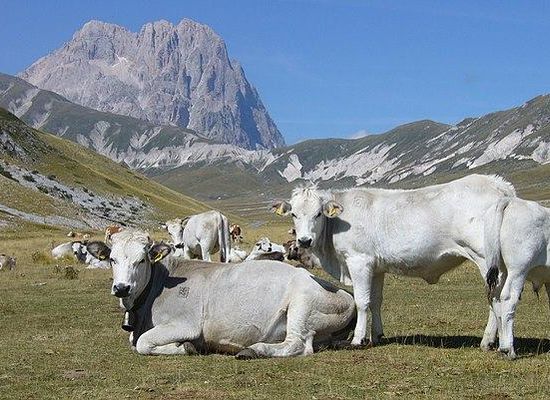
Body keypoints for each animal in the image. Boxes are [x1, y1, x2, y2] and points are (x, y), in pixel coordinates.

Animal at [85, 229, 356, 358]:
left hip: (302, 304)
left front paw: (185, 347)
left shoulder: (185, 324)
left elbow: (143, 343)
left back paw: (253, 350)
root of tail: (347, 296)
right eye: (112, 259)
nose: (122, 287)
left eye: (141, 260)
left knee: (298, 345)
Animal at [272, 174, 516, 349]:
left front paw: (358, 339)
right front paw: (376, 335)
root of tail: (497, 183)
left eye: (318, 214)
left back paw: (489, 341)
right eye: (294, 214)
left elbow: (362, 301)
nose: (304, 240)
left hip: (486, 260)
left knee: (495, 297)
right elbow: (376, 301)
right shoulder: (376, 268)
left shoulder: (359, 261)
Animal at [484, 197, 550, 359]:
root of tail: (510, 202)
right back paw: (508, 349)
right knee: (508, 298)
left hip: (501, 270)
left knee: (496, 299)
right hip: (518, 270)